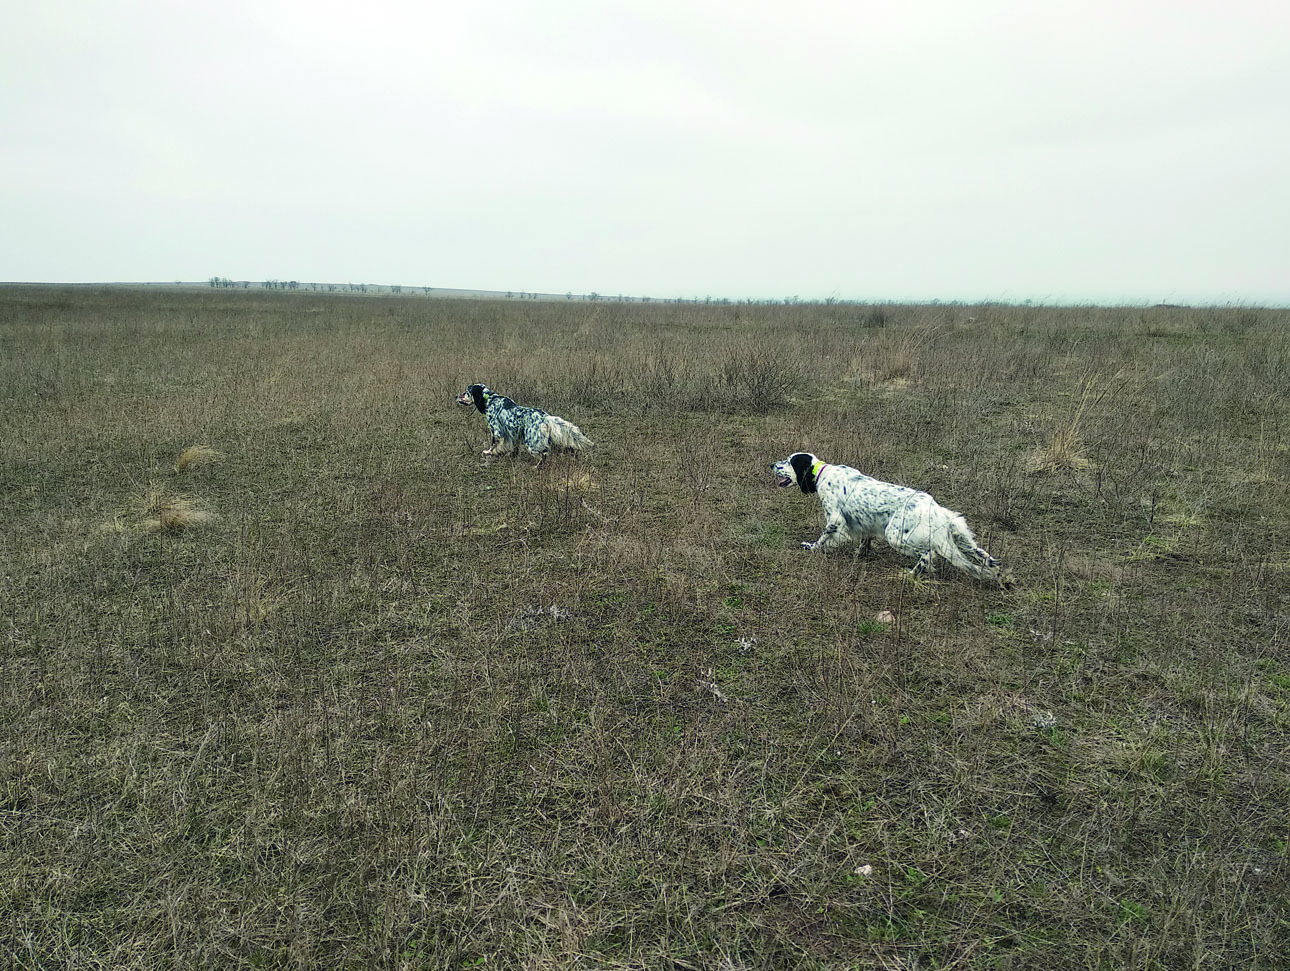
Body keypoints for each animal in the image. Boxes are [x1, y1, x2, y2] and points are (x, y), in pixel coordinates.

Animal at [456, 381, 590, 461]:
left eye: (466, 392)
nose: (456, 396)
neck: (489, 398)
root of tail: (545, 417)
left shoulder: (497, 431)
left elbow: (494, 445)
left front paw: (489, 452)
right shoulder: (511, 434)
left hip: (531, 441)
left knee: (544, 455)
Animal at [774, 453, 1006, 582]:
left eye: (788, 461)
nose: (771, 465)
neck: (822, 472)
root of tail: (935, 509)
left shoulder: (835, 519)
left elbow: (823, 538)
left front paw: (811, 547)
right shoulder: (865, 523)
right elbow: (864, 540)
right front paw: (861, 554)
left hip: (896, 535)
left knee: (928, 555)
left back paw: (909, 575)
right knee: (980, 554)